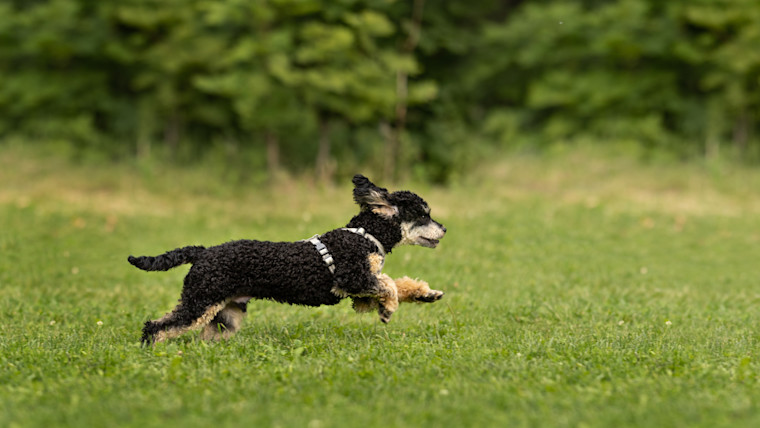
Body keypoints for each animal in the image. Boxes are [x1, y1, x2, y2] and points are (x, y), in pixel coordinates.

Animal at [129, 175, 447, 344]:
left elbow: (398, 284)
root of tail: (203, 251)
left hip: (226, 312)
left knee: (206, 334)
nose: (444, 229)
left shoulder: (359, 294)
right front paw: (388, 309)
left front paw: (426, 294)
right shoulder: (353, 279)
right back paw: (151, 349)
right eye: (423, 215)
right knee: (157, 326)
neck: (365, 235)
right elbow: (389, 285)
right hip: (201, 300)